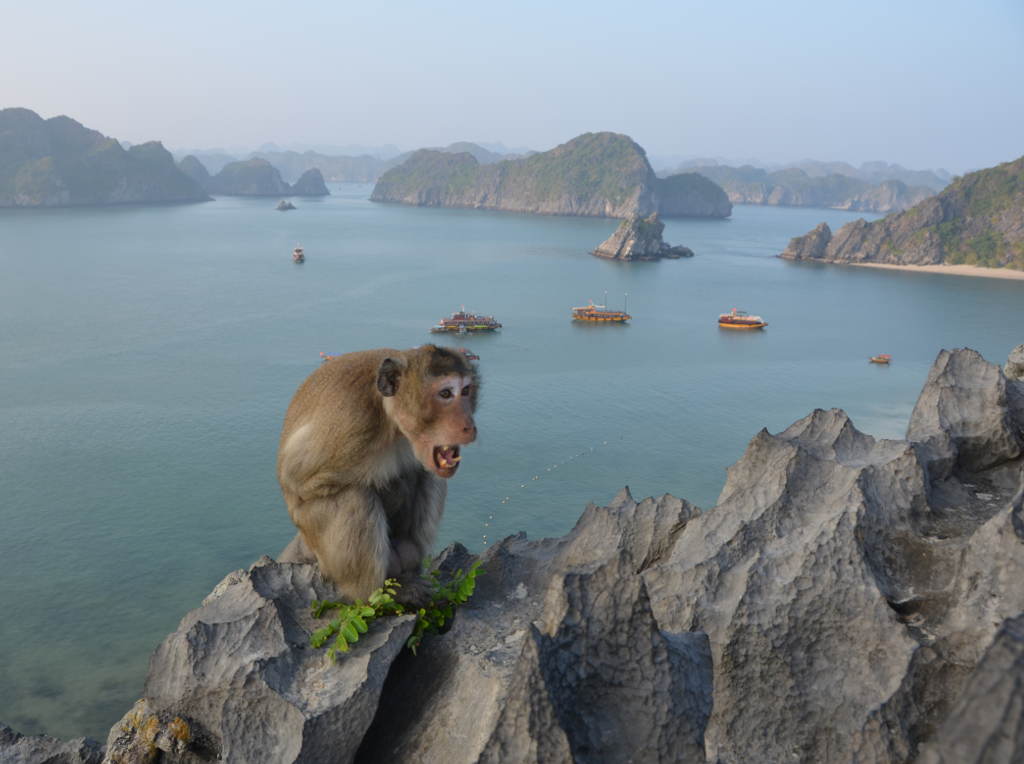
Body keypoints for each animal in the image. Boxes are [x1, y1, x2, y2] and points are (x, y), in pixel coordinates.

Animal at [276, 345, 479, 607]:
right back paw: (375, 595)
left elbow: (419, 471)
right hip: (314, 535)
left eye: (465, 391)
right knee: (355, 498)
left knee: (428, 477)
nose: (469, 426)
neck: (390, 420)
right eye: (445, 393)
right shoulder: (351, 422)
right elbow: (299, 481)